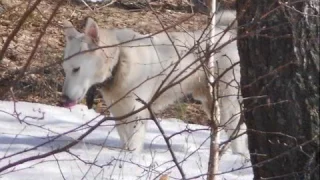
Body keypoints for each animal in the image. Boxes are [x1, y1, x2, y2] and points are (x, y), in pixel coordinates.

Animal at [61, 10, 249, 155]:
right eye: (65, 70)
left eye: (76, 69)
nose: (64, 99)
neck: (119, 62)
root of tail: (229, 33)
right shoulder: (119, 111)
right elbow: (125, 140)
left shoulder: (136, 112)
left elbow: (133, 144)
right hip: (211, 103)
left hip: (228, 103)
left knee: (240, 131)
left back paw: (239, 157)